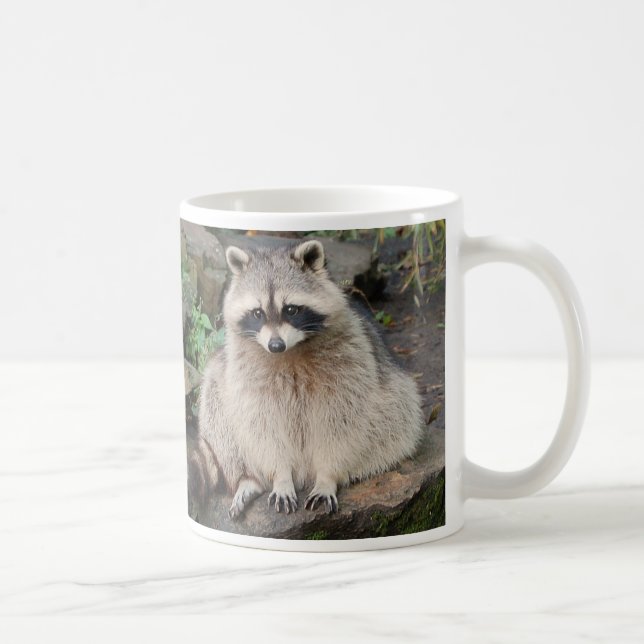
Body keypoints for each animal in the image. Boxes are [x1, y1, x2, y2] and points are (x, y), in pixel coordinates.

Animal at [198, 239, 424, 518]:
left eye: (291, 310)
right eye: (258, 313)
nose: (275, 345)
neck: (290, 351)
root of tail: (304, 472)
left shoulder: (349, 364)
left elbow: (341, 422)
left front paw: (328, 477)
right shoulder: (247, 372)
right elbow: (263, 424)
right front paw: (280, 476)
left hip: (395, 400)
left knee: (398, 416)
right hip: (222, 385)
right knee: (215, 401)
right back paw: (247, 479)